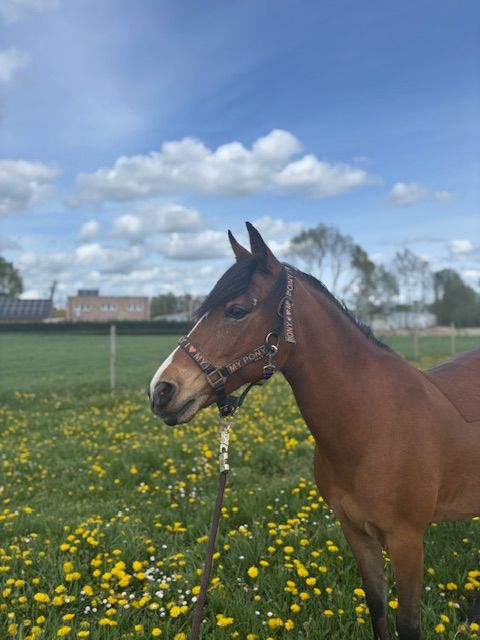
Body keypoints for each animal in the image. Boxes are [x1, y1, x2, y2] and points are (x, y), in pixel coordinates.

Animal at [148, 222, 480, 640]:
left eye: (236, 310)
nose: (161, 391)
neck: (374, 423)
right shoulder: (355, 531)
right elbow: (377, 607)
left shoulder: (407, 540)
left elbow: (407, 624)